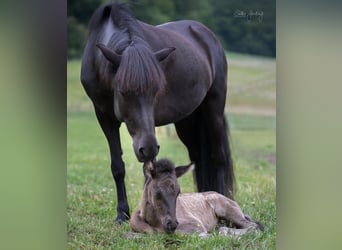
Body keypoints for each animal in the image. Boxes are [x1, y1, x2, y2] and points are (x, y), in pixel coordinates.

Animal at [80, 3, 235, 223]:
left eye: (156, 91)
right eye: (122, 91)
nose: (147, 148)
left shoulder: (148, 128)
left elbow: (149, 171)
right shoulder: (104, 117)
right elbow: (118, 166)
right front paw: (122, 214)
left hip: (213, 108)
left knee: (218, 156)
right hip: (187, 120)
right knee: (198, 157)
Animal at [130, 159, 264, 235]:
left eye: (178, 193)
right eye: (157, 192)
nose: (172, 224)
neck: (154, 222)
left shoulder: (196, 225)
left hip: (227, 211)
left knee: (253, 226)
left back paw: (223, 231)